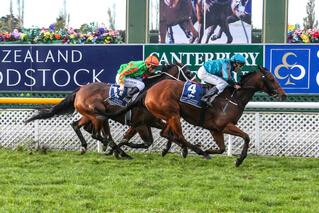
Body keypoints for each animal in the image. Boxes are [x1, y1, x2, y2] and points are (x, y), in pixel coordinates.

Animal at [24, 63, 192, 158]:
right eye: (189, 73)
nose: (194, 84)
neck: (149, 92)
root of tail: (80, 89)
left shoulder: (151, 121)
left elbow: (167, 132)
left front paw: (176, 150)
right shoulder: (140, 124)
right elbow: (146, 141)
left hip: (90, 115)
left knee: (77, 125)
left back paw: (88, 147)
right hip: (97, 115)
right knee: (95, 133)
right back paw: (115, 150)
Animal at [97, 65, 288, 166]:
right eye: (271, 78)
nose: (283, 94)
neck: (233, 97)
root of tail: (149, 91)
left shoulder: (215, 129)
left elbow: (222, 148)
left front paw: (209, 150)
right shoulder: (224, 125)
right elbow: (246, 137)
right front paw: (239, 159)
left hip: (169, 115)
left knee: (166, 133)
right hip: (173, 113)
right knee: (177, 135)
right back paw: (195, 150)